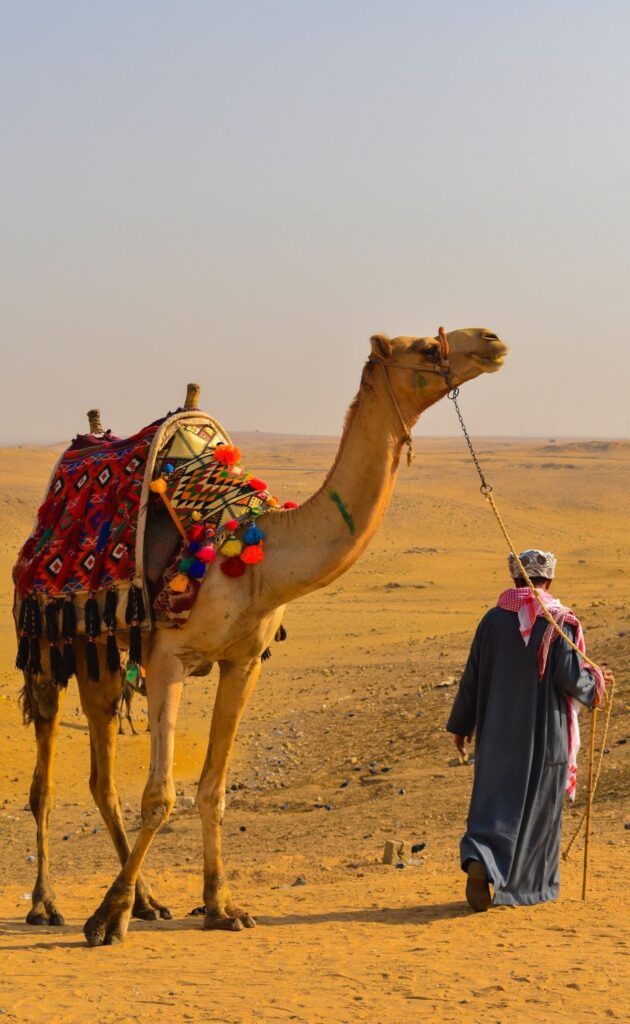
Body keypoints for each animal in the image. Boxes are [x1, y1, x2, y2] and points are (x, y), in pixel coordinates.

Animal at [20, 327, 507, 944]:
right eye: (423, 346)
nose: (492, 340)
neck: (257, 556)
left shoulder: (243, 661)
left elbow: (212, 790)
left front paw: (221, 907)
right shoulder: (168, 660)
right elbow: (159, 795)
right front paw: (108, 918)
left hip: (102, 654)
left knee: (101, 777)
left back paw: (149, 901)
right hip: (46, 643)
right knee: (45, 781)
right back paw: (47, 904)